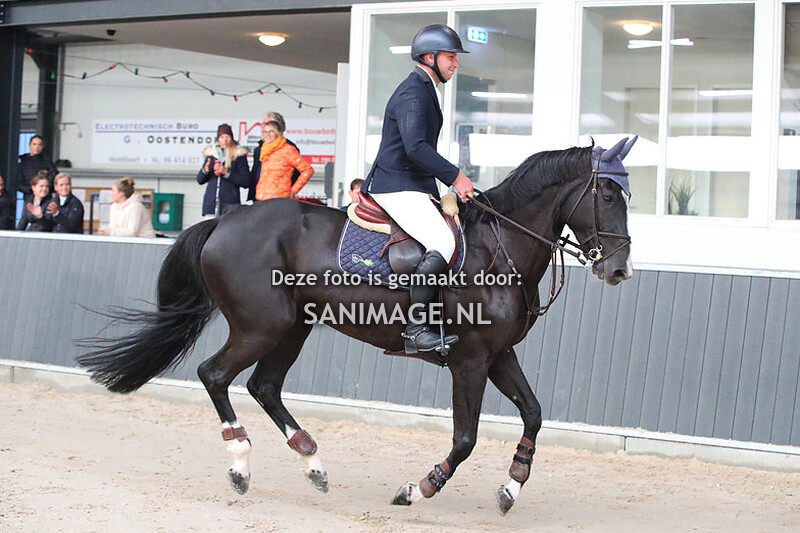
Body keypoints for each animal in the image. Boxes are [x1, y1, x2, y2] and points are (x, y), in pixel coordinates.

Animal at [77, 136, 637, 516]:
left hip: (293, 328)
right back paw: (240, 464)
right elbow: (465, 438)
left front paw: (511, 485)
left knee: (264, 386)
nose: (619, 271)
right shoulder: (471, 360)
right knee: (215, 376)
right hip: (261, 327)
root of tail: (224, 220)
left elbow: (534, 414)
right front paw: (419, 488)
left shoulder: (499, 355)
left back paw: (312, 463)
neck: (500, 248)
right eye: (608, 197)